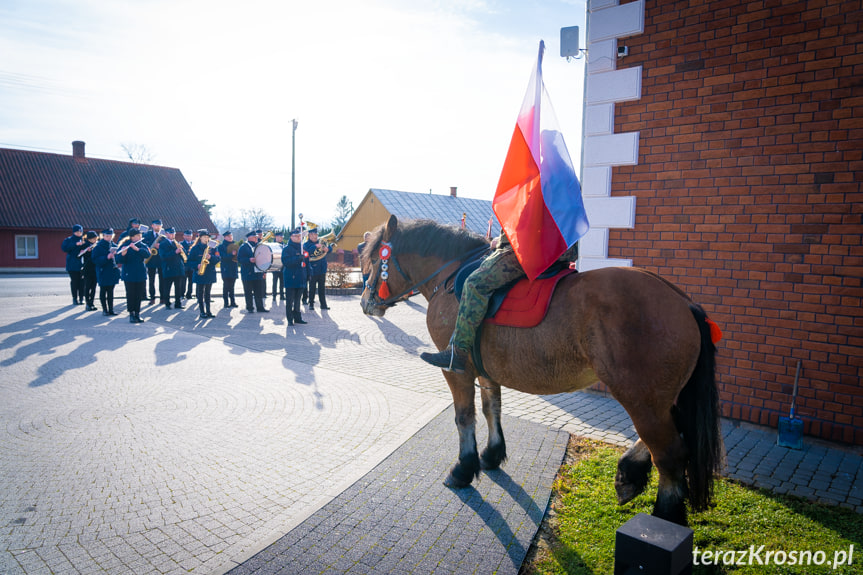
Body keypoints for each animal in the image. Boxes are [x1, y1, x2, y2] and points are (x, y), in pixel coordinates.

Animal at [362, 217, 724, 528]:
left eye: (374, 261)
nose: (365, 302)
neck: (451, 278)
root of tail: (683, 303)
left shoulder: (457, 371)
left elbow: (464, 417)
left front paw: (464, 468)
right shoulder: (486, 370)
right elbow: (491, 408)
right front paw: (492, 454)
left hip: (642, 400)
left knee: (670, 455)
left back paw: (664, 516)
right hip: (662, 399)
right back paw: (629, 474)